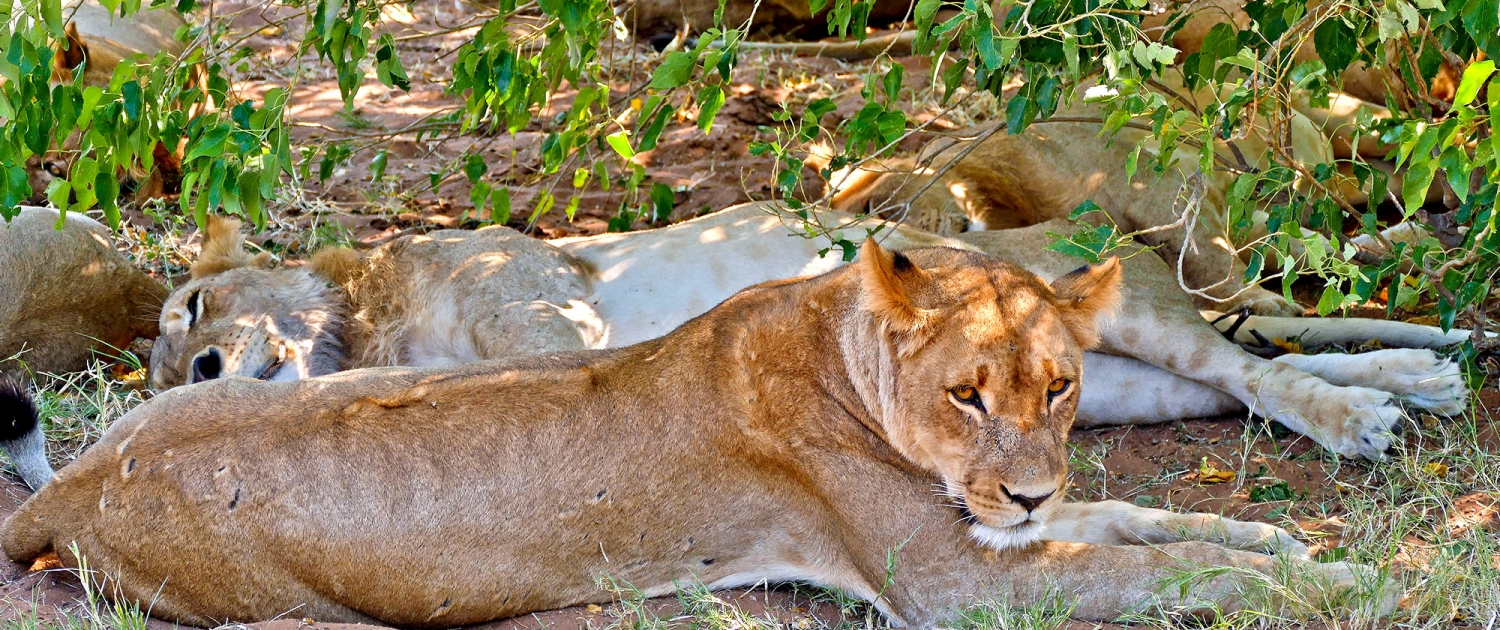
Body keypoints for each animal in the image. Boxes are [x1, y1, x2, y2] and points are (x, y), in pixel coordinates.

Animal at [1, 237, 1396, 627]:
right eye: (968, 394)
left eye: (1058, 386)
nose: (1028, 491)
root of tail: (79, 482)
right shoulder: (952, 583)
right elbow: (1155, 568)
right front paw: (1322, 582)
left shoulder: (999, 525)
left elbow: (1150, 519)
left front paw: (1286, 544)